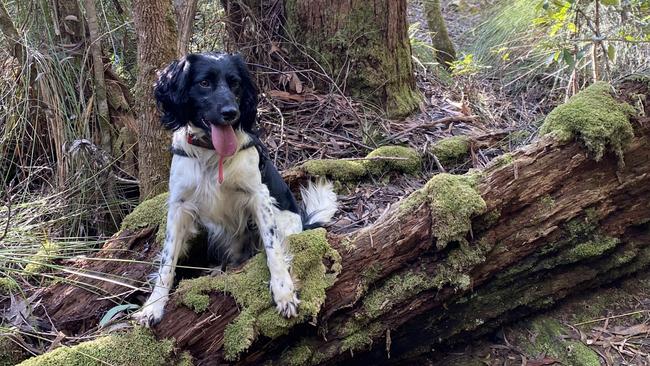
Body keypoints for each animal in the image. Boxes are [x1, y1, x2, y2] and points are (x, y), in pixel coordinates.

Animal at [130, 52, 336, 326]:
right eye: (204, 83)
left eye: (235, 83)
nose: (231, 112)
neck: (212, 153)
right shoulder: (179, 206)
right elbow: (167, 261)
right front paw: (153, 306)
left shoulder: (259, 197)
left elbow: (273, 250)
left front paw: (284, 292)